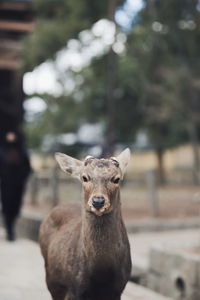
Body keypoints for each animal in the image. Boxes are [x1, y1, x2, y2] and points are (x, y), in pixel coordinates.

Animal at [39, 149, 132, 300]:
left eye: (116, 179)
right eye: (84, 177)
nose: (98, 201)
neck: (101, 272)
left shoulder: (118, 288)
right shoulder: (75, 287)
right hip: (51, 279)